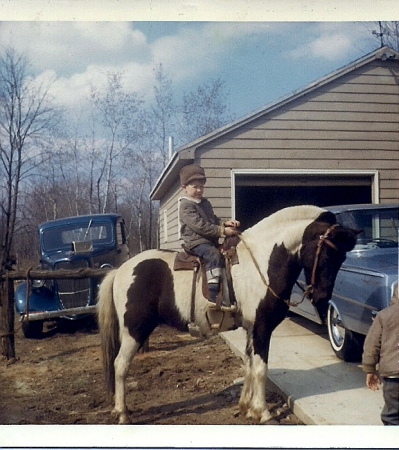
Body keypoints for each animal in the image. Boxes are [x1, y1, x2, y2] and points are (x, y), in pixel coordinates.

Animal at [98, 206, 360, 424]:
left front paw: (247, 408)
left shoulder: (251, 328)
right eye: (326, 255)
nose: (322, 298)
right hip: (134, 330)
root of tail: (121, 270)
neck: (262, 262)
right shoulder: (262, 328)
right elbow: (261, 369)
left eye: (342, 258)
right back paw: (122, 413)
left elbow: (249, 365)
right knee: (120, 365)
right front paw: (263, 412)